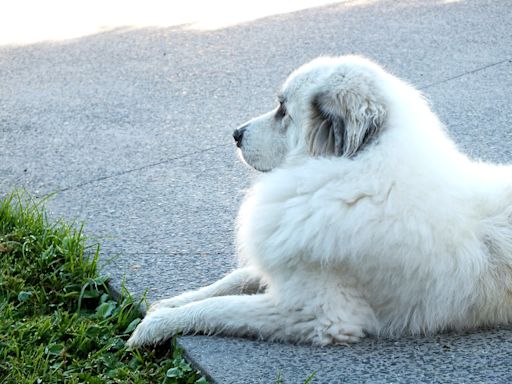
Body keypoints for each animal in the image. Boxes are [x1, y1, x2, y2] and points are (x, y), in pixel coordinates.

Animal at [128, 55, 512, 346]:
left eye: (283, 110)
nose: (236, 134)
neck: (351, 174)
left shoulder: (316, 313)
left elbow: (222, 308)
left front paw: (152, 327)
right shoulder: (286, 263)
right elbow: (231, 281)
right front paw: (165, 303)